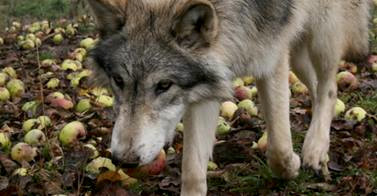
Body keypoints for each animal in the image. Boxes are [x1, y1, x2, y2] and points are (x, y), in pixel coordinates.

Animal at [86, 0, 370, 194]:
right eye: (118, 81)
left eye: (164, 85)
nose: (124, 159)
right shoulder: (205, 86)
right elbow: (192, 171)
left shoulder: (272, 58)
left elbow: (278, 147)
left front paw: (293, 165)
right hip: (298, 50)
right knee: (318, 88)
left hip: (322, 32)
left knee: (329, 88)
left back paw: (314, 150)